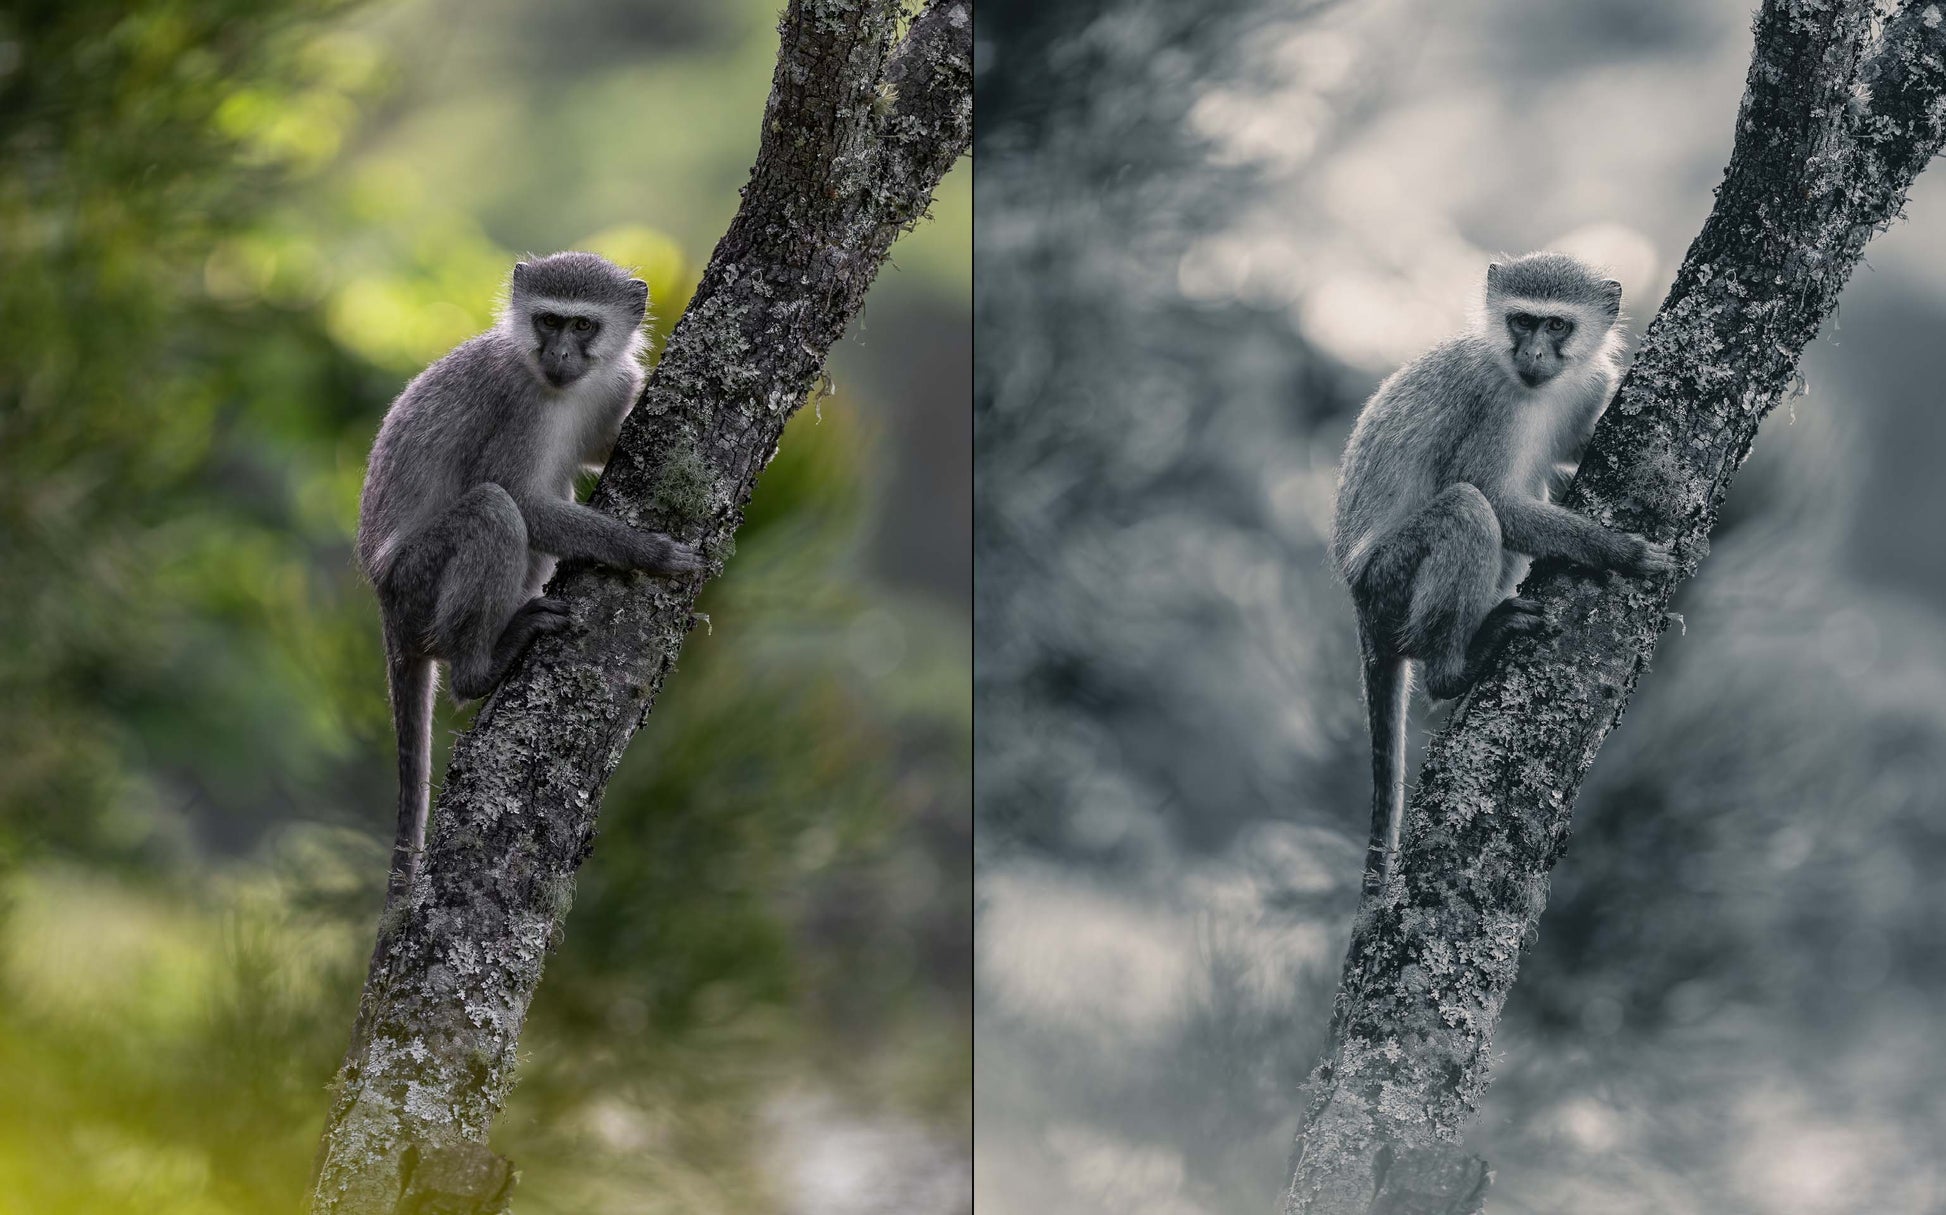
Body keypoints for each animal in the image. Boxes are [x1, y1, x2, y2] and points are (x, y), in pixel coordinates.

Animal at [356, 251, 704, 901]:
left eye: (583, 326)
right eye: (548, 321)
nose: (560, 355)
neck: (563, 389)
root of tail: (384, 602)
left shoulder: (612, 383)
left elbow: (594, 451)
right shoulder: (516, 401)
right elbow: (518, 495)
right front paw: (648, 551)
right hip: (415, 582)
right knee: (495, 510)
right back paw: (480, 667)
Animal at [1329, 252, 1674, 892]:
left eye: (1556, 325)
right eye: (1521, 321)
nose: (1533, 354)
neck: (1538, 390)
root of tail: (1357, 600)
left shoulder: (1586, 385)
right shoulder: (1491, 403)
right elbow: (1491, 495)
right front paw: (1619, 550)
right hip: (1387, 578)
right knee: (1469, 510)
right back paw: (1454, 668)